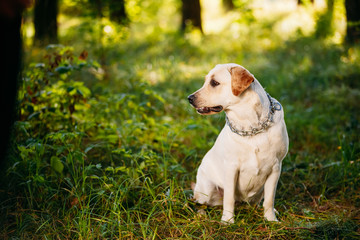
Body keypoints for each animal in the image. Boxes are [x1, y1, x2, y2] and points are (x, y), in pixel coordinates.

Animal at [187, 62, 288, 223]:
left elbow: (269, 199)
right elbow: (228, 198)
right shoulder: (231, 168)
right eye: (206, 81)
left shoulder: (275, 168)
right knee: (198, 202)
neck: (251, 126)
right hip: (206, 189)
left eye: (214, 83)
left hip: (260, 190)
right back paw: (201, 215)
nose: (189, 98)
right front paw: (227, 221)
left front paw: (271, 219)